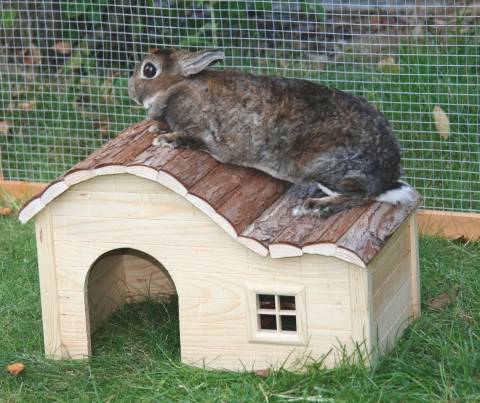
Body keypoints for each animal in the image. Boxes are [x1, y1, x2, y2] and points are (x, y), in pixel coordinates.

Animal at [128, 48, 416, 218]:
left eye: (149, 70)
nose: (131, 90)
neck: (176, 87)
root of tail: (388, 174)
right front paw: (156, 127)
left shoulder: (201, 130)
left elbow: (188, 137)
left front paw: (164, 139)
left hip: (320, 166)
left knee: (357, 196)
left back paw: (311, 207)